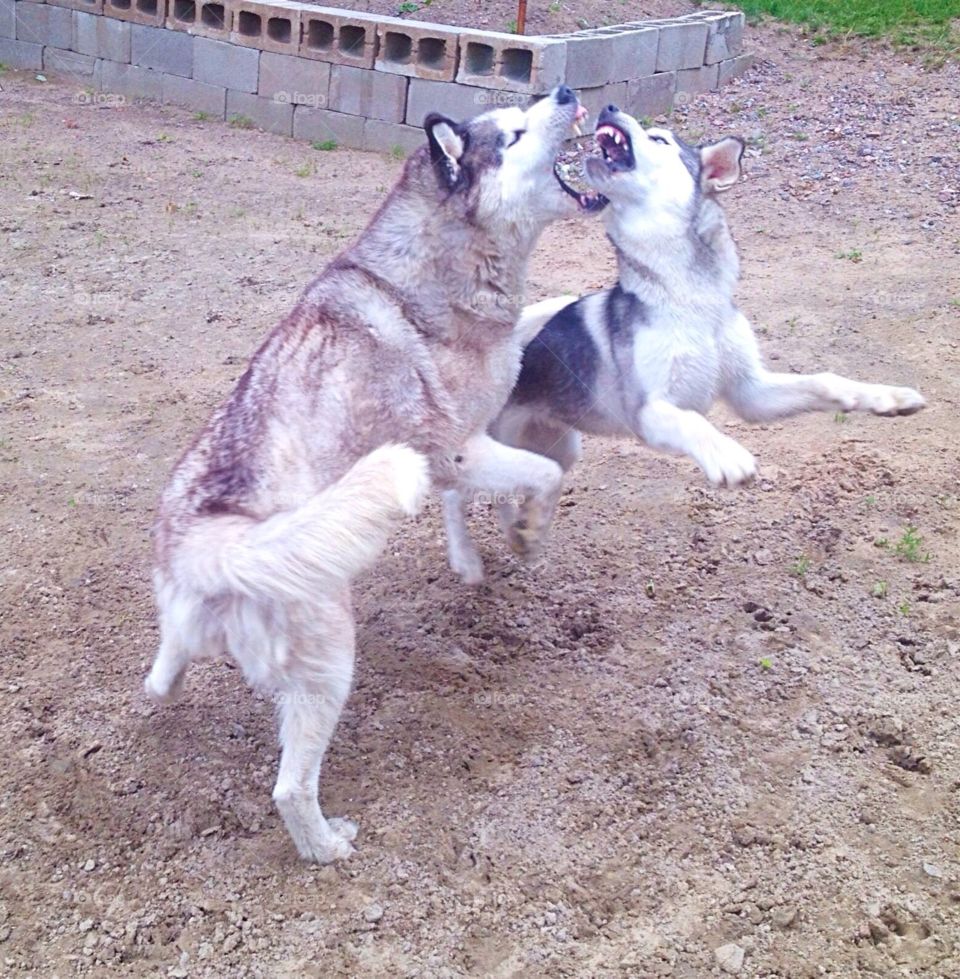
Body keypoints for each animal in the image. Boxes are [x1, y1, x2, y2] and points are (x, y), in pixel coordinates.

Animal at [146, 88, 604, 860]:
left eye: (528, 105)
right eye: (514, 134)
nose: (569, 91)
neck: (440, 262)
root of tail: (209, 543)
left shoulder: (473, 418)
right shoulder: (454, 446)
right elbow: (542, 472)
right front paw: (526, 535)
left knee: (164, 668)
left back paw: (162, 686)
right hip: (332, 657)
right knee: (289, 787)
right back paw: (325, 845)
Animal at [446, 105, 928, 580]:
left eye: (660, 139)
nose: (609, 106)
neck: (689, 299)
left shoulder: (751, 393)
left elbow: (826, 382)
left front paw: (886, 397)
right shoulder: (650, 411)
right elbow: (695, 423)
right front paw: (727, 456)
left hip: (558, 449)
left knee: (511, 490)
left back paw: (521, 531)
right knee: (455, 493)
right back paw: (466, 558)